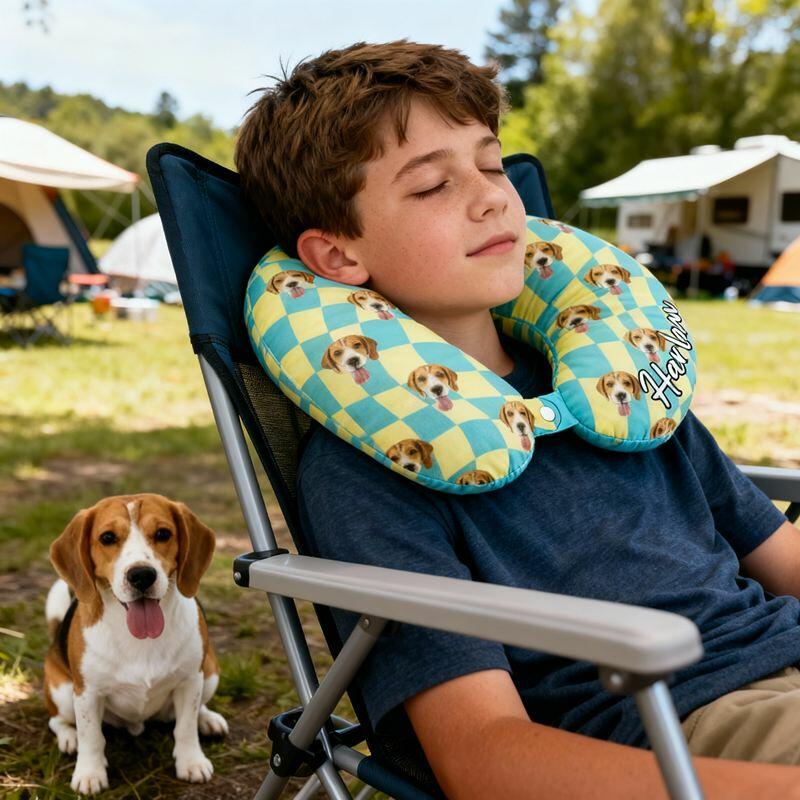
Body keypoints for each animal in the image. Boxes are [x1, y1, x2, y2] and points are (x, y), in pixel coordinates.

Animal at [44, 494, 226, 795]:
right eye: (107, 538)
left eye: (163, 534)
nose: (141, 575)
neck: (141, 640)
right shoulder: (87, 693)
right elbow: (92, 736)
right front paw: (90, 773)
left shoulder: (190, 680)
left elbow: (185, 726)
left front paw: (191, 761)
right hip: (63, 692)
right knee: (57, 720)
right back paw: (69, 738)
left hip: (209, 673)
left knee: (197, 708)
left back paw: (208, 719)